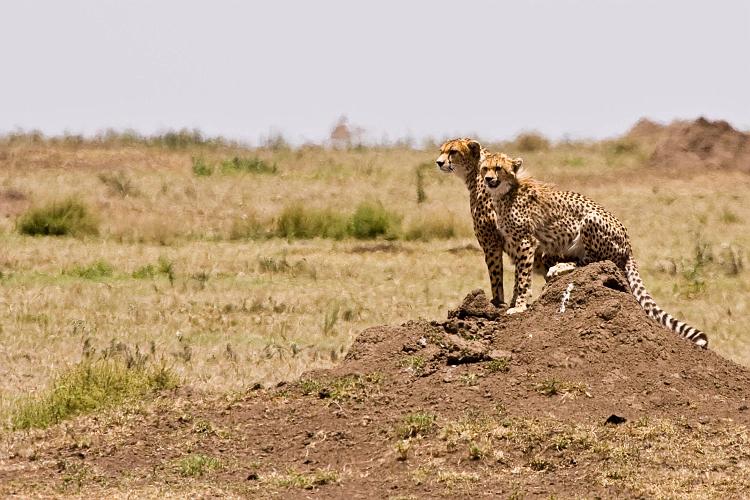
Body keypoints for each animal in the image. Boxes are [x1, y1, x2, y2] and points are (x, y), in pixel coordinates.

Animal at [434, 139, 564, 306]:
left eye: (453, 151)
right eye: (441, 151)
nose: (439, 162)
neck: (475, 173)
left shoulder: (491, 243)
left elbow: (496, 276)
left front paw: (497, 302)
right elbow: (518, 275)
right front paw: (513, 301)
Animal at [482, 152, 712, 348]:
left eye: (498, 168)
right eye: (485, 168)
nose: (488, 179)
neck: (505, 193)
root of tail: (629, 245)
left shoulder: (526, 242)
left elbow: (522, 280)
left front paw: (519, 306)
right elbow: (517, 279)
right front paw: (512, 304)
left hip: (590, 221)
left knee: (590, 260)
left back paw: (561, 267)